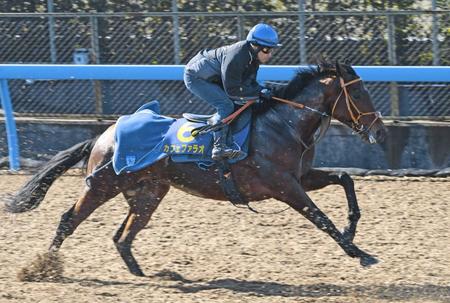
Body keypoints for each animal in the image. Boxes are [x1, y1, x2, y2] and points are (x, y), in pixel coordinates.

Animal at [5, 61, 386, 278]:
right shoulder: (284, 186)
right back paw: (43, 266)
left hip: (148, 193)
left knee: (122, 235)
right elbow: (321, 219)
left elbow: (345, 179)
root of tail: (103, 134)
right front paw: (361, 254)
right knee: (69, 219)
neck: (282, 125)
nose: (380, 131)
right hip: (101, 186)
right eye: (359, 93)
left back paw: (148, 275)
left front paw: (353, 230)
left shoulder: (300, 177)